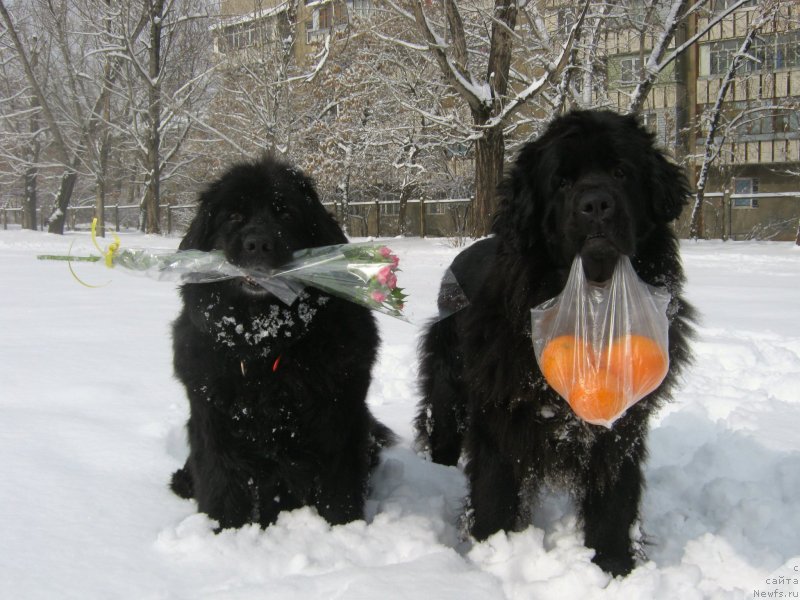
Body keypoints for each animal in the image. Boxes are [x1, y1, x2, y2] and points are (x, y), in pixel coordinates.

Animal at [170, 158, 394, 528]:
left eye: (286, 213)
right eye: (234, 215)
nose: (258, 244)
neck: (265, 344)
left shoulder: (340, 419)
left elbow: (339, 489)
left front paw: (344, 529)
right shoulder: (213, 421)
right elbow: (221, 484)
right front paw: (221, 531)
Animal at [416, 109, 696, 576]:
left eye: (621, 172)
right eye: (561, 182)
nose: (596, 204)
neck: (593, 299)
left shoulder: (623, 422)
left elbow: (615, 499)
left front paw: (614, 565)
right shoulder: (499, 410)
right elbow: (494, 489)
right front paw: (491, 555)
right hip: (447, 386)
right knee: (443, 430)